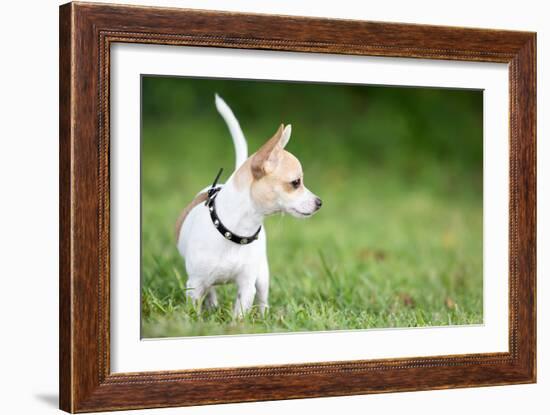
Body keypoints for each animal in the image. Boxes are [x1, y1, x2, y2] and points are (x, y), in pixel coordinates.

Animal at [176, 96, 324, 316]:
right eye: (296, 183)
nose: (319, 202)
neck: (234, 231)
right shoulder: (195, 285)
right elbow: (195, 309)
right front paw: (194, 320)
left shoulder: (247, 285)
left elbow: (240, 313)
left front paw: (238, 322)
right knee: (211, 291)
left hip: (262, 275)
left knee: (262, 298)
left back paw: (263, 316)